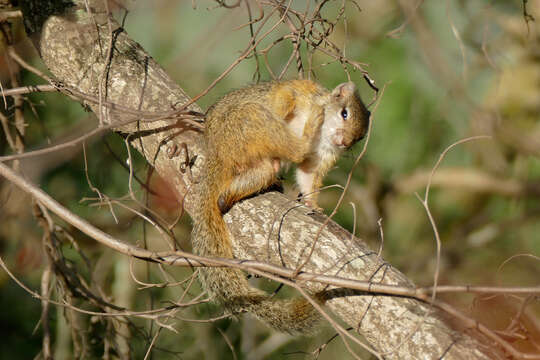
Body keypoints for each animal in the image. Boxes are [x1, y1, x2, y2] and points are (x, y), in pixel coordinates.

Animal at [191, 80, 372, 334]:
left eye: (360, 137)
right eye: (344, 113)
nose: (344, 142)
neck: (324, 135)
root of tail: (218, 153)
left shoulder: (322, 157)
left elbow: (308, 175)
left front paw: (313, 204)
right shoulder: (299, 93)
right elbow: (284, 96)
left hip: (258, 161)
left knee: (239, 188)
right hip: (250, 121)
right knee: (292, 147)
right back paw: (307, 129)